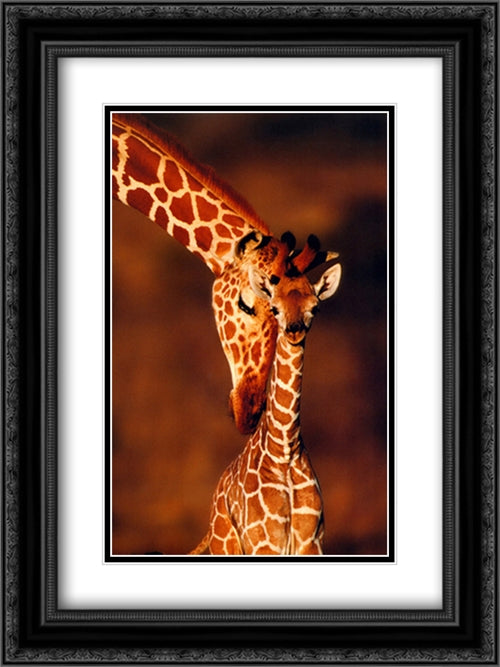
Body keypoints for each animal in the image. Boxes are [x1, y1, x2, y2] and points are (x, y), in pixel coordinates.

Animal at [191, 239, 342, 555]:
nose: (294, 330)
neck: (284, 450)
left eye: (315, 307)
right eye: (275, 308)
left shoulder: (311, 543)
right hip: (228, 546)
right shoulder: (265, 543)